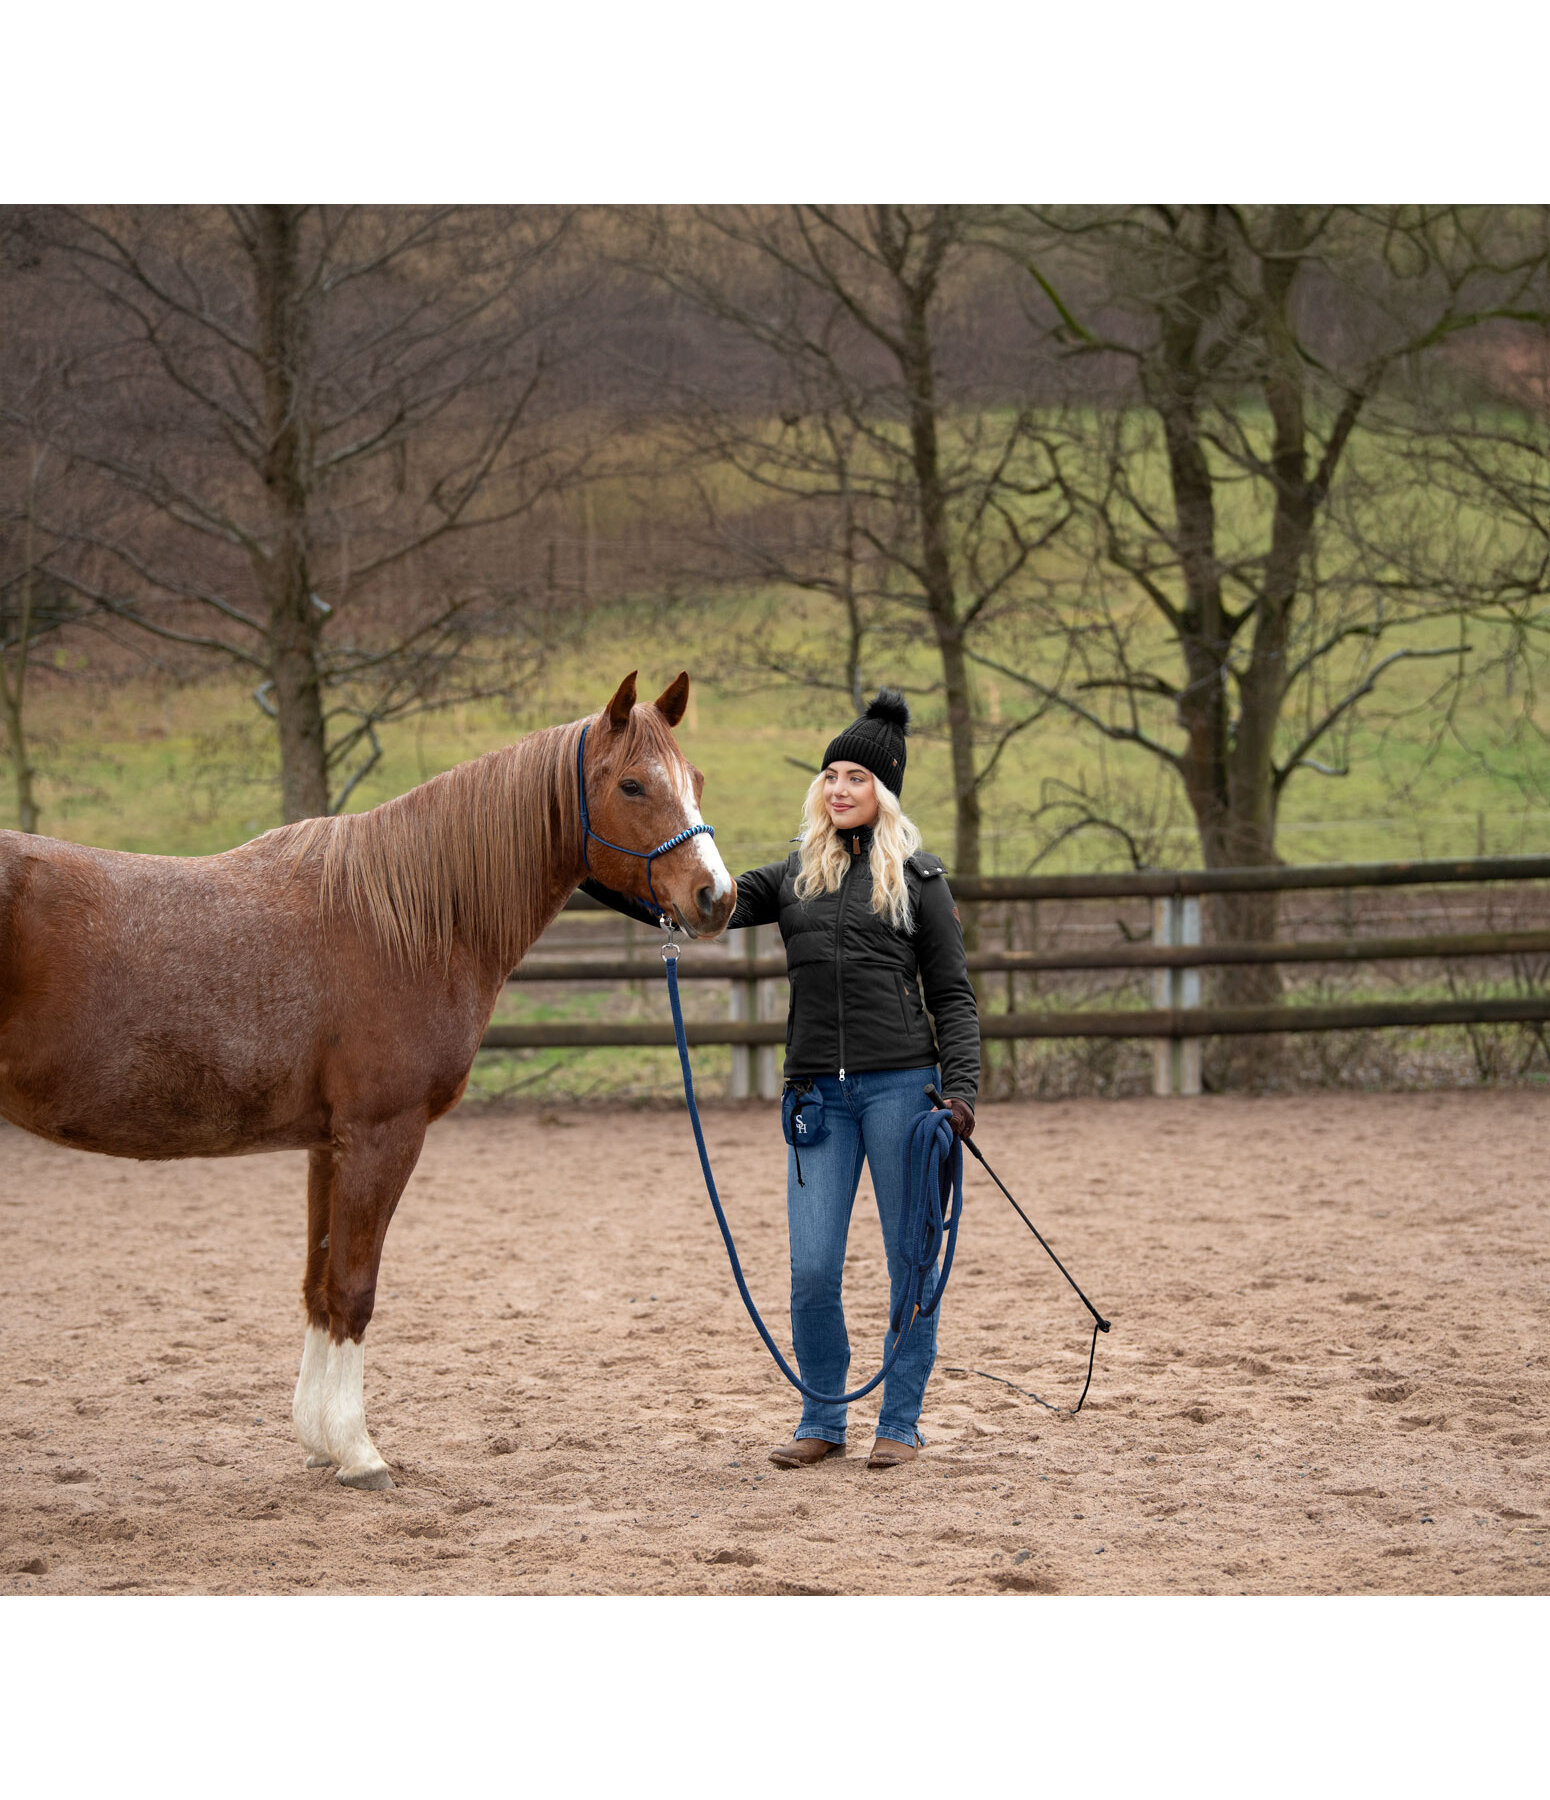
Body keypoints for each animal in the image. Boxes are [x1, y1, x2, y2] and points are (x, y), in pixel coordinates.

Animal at [0, 676, 734, 1490]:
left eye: (698, 781)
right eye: (633, 785)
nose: (717, 897)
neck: (404, 922)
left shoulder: (328, 1145)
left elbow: (319, 1286)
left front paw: (319, 1441)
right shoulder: (382, 1135)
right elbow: (354, 1290)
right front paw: (359, 1453)